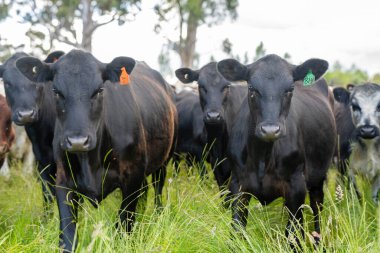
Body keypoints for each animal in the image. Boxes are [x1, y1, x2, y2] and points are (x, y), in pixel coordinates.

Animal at [16, 49, 178, 251]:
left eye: (100, 90)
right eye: (56, 91)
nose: (77, 141)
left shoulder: (133, 176)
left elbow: (124, 225)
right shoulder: (63, 179)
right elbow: (68, 235)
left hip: (164, 160)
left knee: (157, 190)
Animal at [217, 54, 336, 247]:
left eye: (290, 88)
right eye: (251, 87)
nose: (270, 130)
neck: (262, 157)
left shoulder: (296, 187)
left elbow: (293, 235)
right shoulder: (237, 185)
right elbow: (237, 230)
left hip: (318, 175)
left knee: (317, 207)